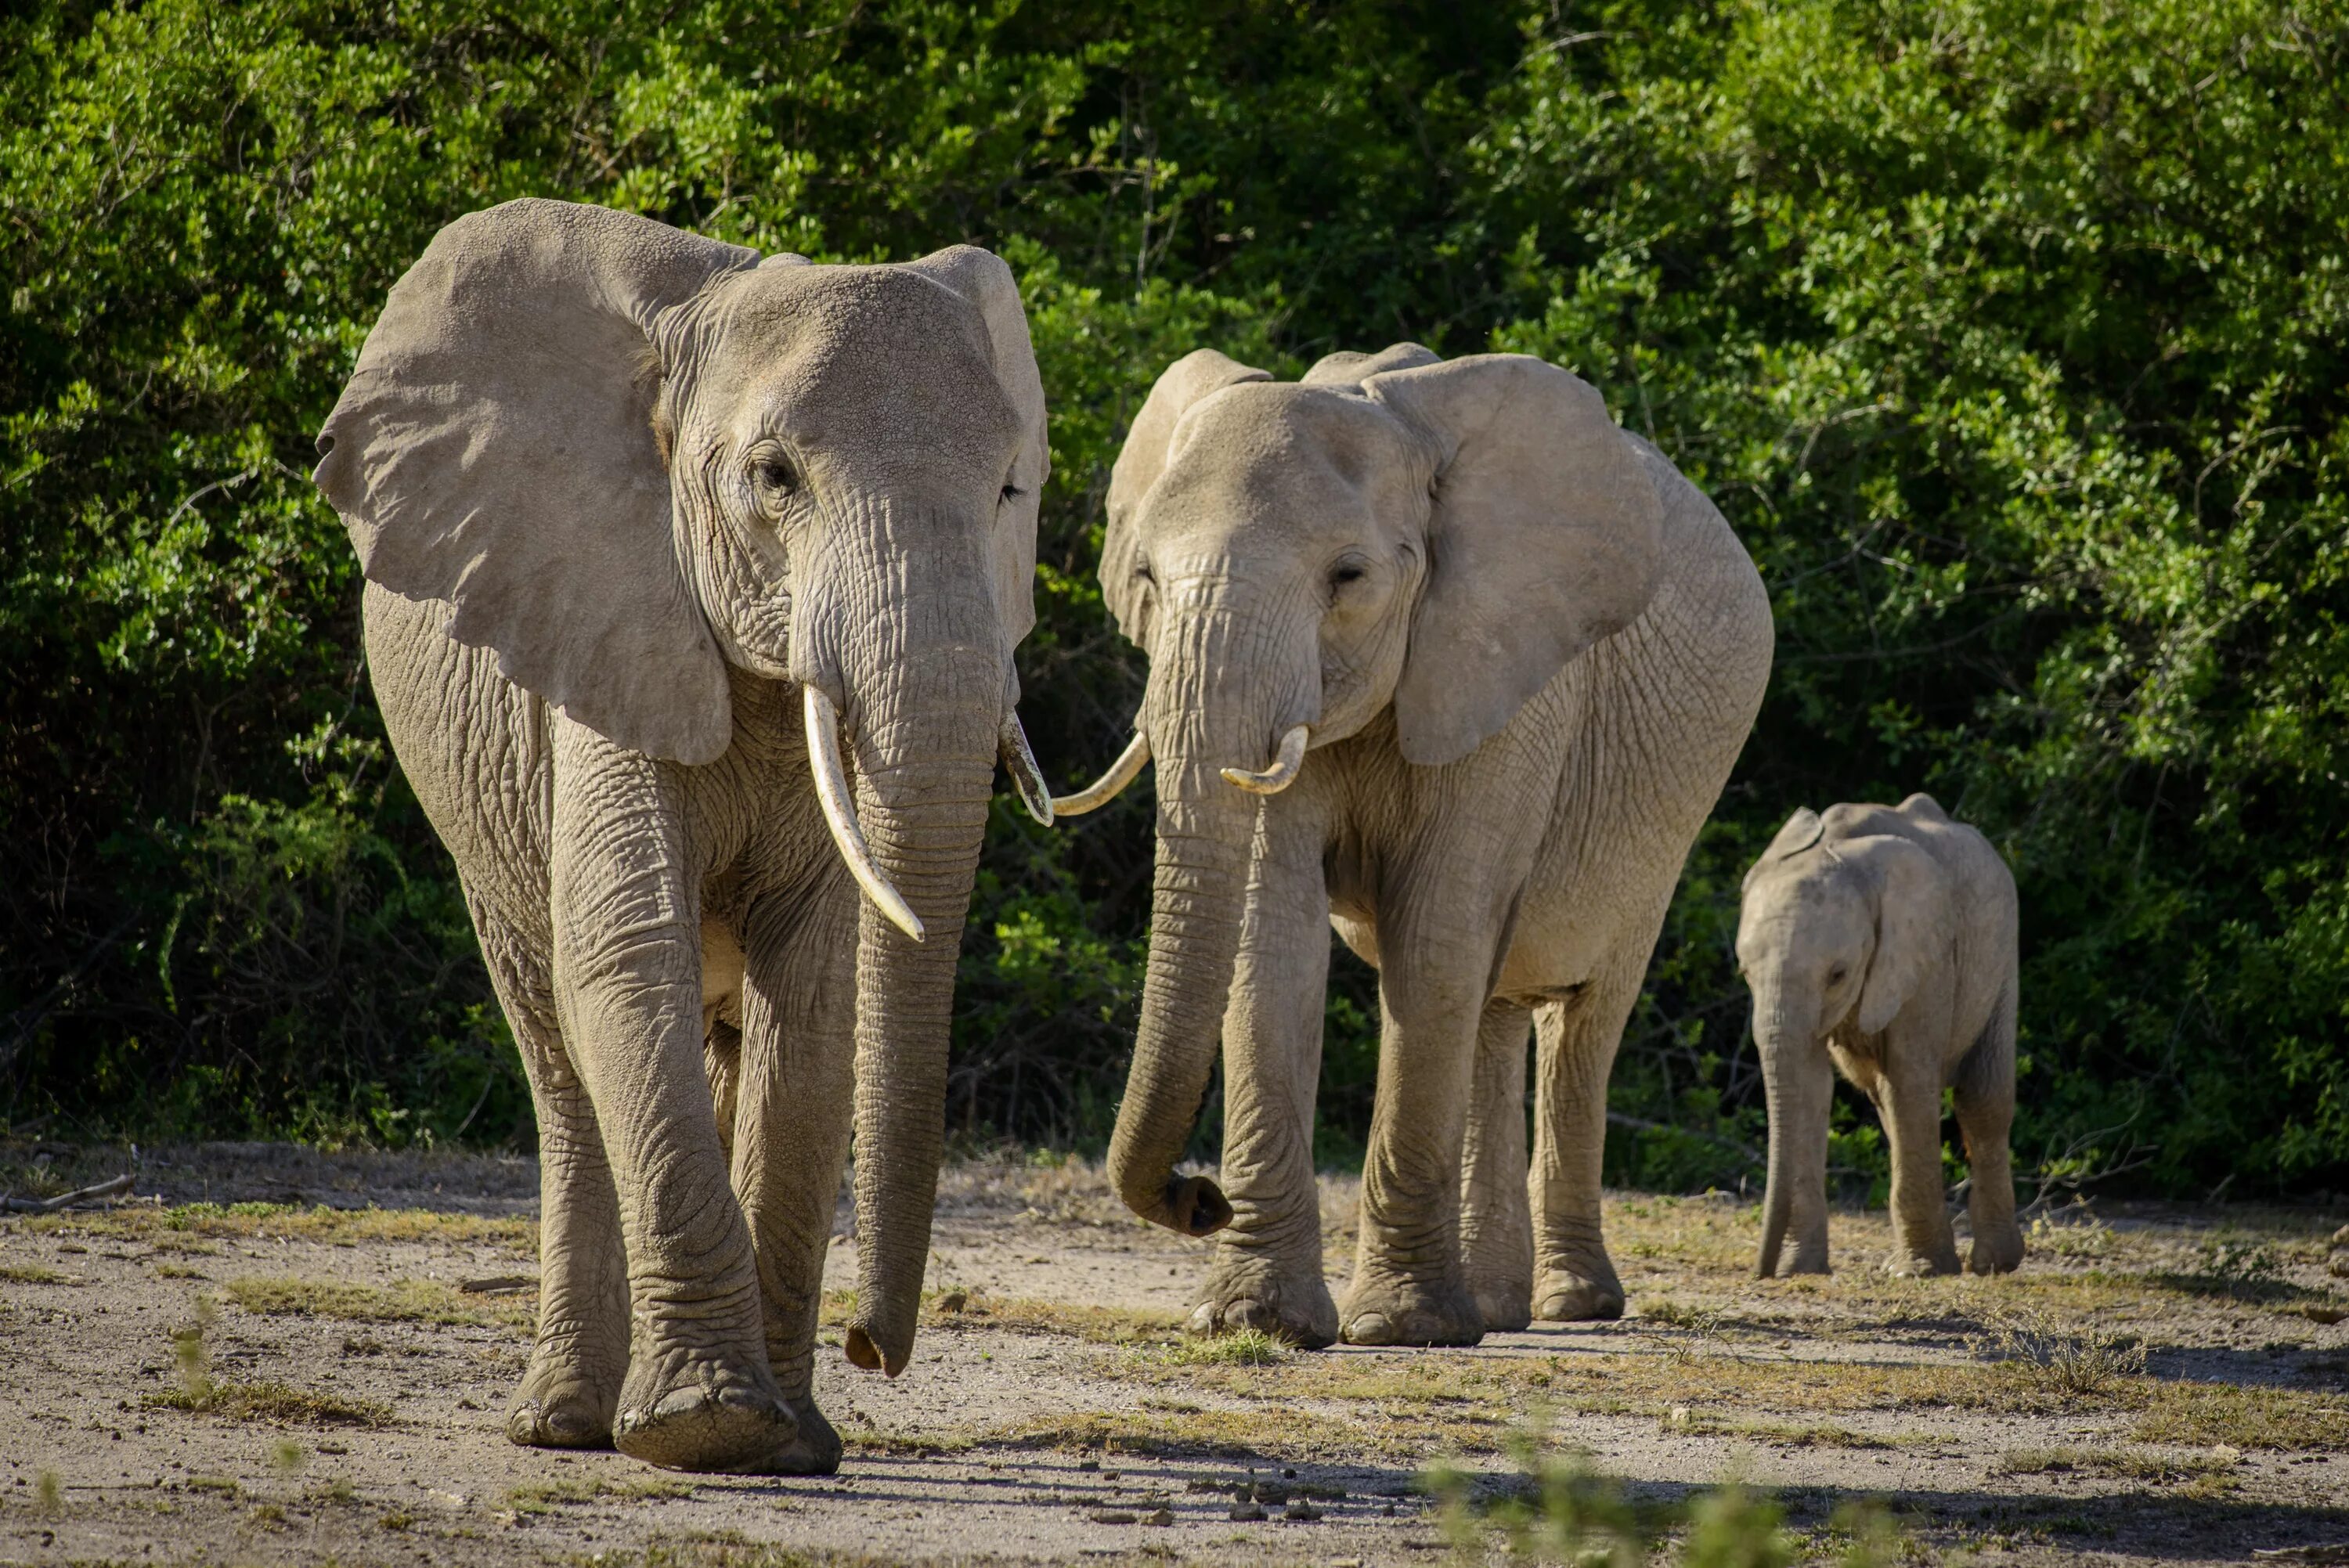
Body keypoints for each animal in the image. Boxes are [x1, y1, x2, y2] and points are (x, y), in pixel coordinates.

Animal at [317, 199, 1052, 1474]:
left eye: (1014, 488)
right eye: (774, 476)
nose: (873, 1346)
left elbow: (814, 993)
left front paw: (785, 1437)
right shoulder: (602, 623)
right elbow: (625, 954)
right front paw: (706, 1427)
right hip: (481, 832)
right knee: (558, 1052)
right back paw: (564, 1424)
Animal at [1057, 342, 1766, 1352]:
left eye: (1349, 576)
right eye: (1145, 577)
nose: (1200, 1196)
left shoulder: (1510, 671)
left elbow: (1433, 938)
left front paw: (1402, 1326)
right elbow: (1272, 939)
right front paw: (1256, 1319)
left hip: (1668, 823)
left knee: (1583, 1017)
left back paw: (1569, 1304)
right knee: (1494, 1007)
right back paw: (1500, 1309)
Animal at [1738, 788, 2030, 1277]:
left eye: (1838, 975)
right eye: (1744, 972)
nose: (1760, 1272)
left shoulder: (1925, 955)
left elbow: (1910, 1077)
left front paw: (1923, 1271)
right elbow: (1809, 1086)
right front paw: (1800, 1270)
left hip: (2002, 951)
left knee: (1980, 1097)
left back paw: (1992, 1263)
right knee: (1884, 1102)